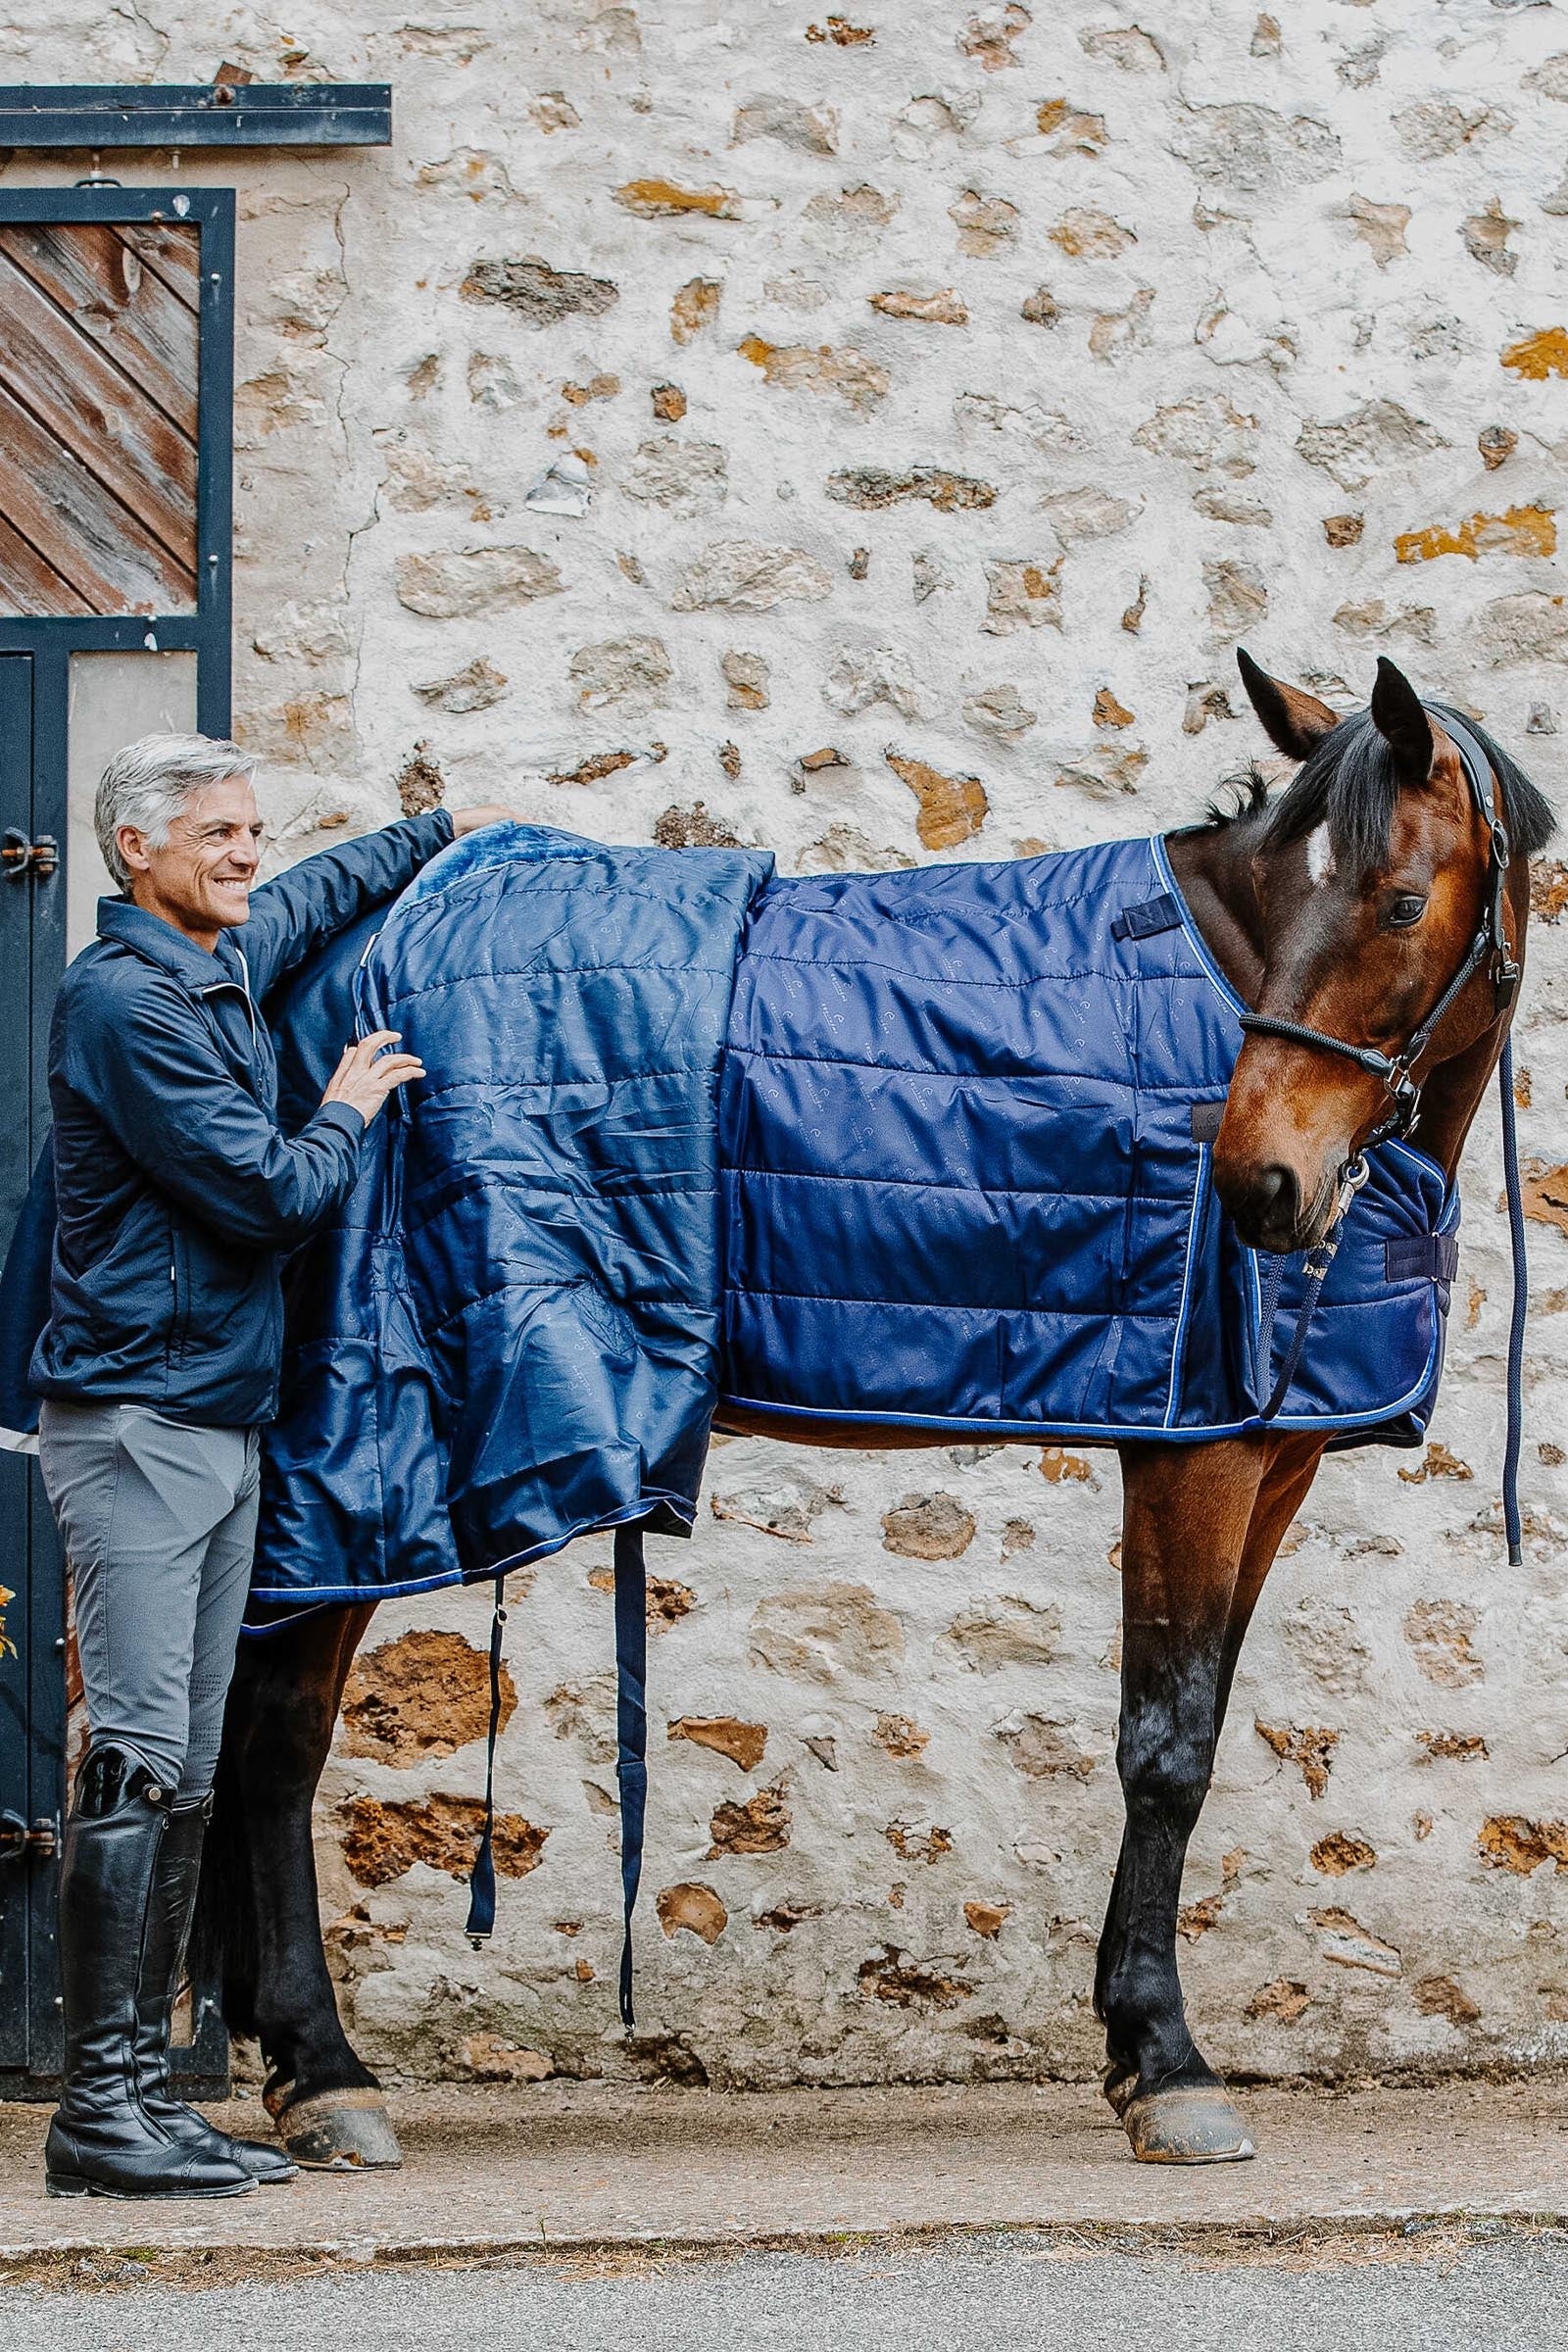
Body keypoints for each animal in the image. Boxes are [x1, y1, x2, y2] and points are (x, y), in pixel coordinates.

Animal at [194, 652, 1554, 2171]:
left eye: (1397, 901)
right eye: (1293, 892)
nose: (1257, 1183)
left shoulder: (1267, 1466)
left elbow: (1191, 1726)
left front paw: (1133, 2043)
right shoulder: (1191, 1453)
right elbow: (1167, 1748)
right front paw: (1165, 2062)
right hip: (352, 1470)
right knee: (274, 1737)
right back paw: (324, 2071)